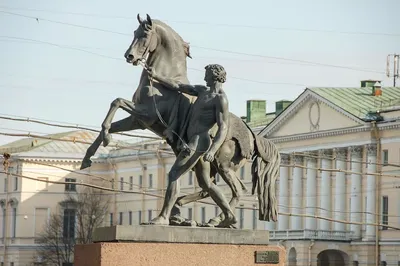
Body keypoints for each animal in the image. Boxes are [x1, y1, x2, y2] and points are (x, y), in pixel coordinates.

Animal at [81, 14, 280, 227]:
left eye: (144, 34)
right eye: (135, 32)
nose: (130, 56)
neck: (164, 82)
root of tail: (252, 135)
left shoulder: (147, 115)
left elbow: (116, 101)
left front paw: (106, 139)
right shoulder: (138, 121)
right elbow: (111, 118)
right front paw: (88, 156)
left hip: (223, 164)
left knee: (235, 189)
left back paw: (216, 218)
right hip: (210, 165)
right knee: (209, 187)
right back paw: (189, 214)